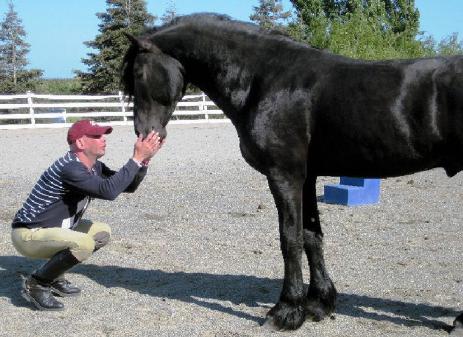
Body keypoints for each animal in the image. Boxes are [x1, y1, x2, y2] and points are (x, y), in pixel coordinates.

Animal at [121, 12, 463, 330]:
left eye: (138, 73)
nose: (144, 134)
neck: (266, 80)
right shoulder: (306, 178)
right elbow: (311, 236)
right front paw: (318, 304)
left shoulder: (284, 175)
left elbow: (290, 239)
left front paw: (287, 310)